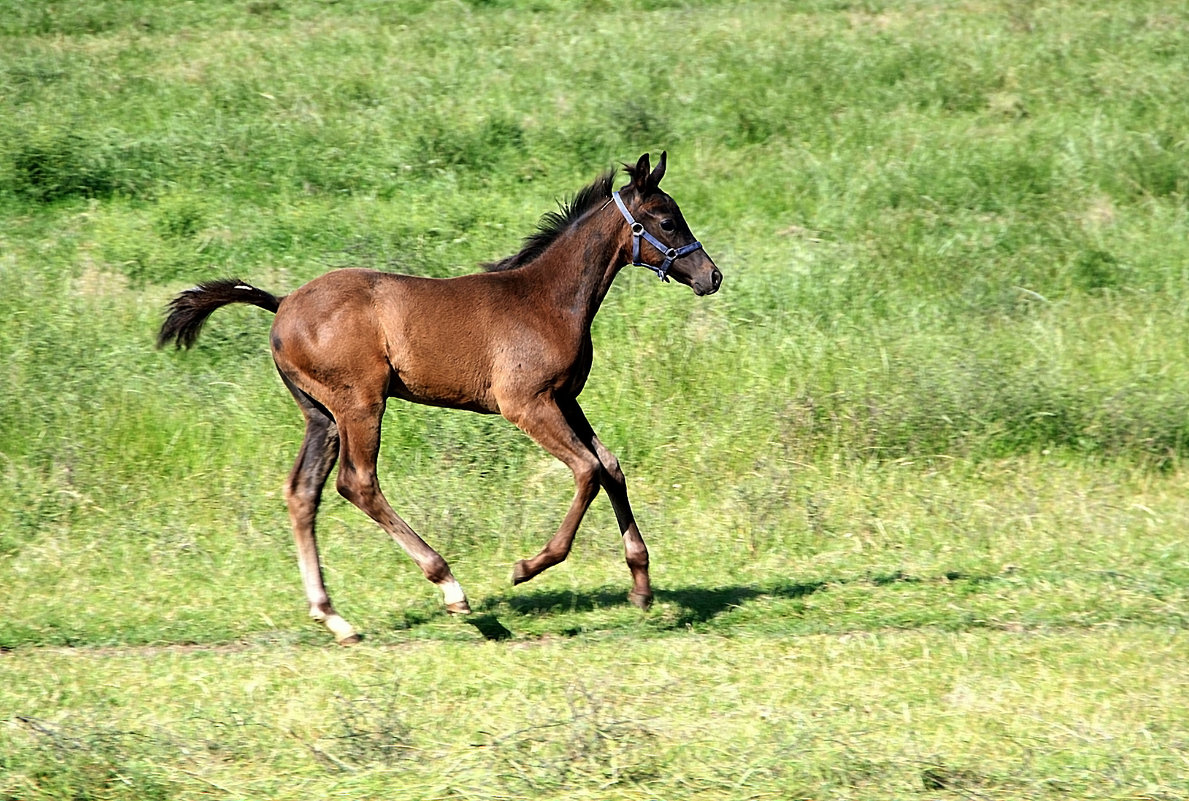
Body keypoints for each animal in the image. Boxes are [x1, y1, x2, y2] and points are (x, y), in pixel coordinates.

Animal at [155, 151, 713, 641]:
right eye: (667, 221)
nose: (712, 276)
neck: (546, 300)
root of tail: (283, 302)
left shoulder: (566, 399)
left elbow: (611, 466)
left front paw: (641, 585)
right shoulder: (526, 404)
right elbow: (587, 470)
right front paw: (527, 566)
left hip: (321, 415)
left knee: (302, 492)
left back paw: (334, 617)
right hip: (360, 404)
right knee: (356, 483)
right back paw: (449, 586)